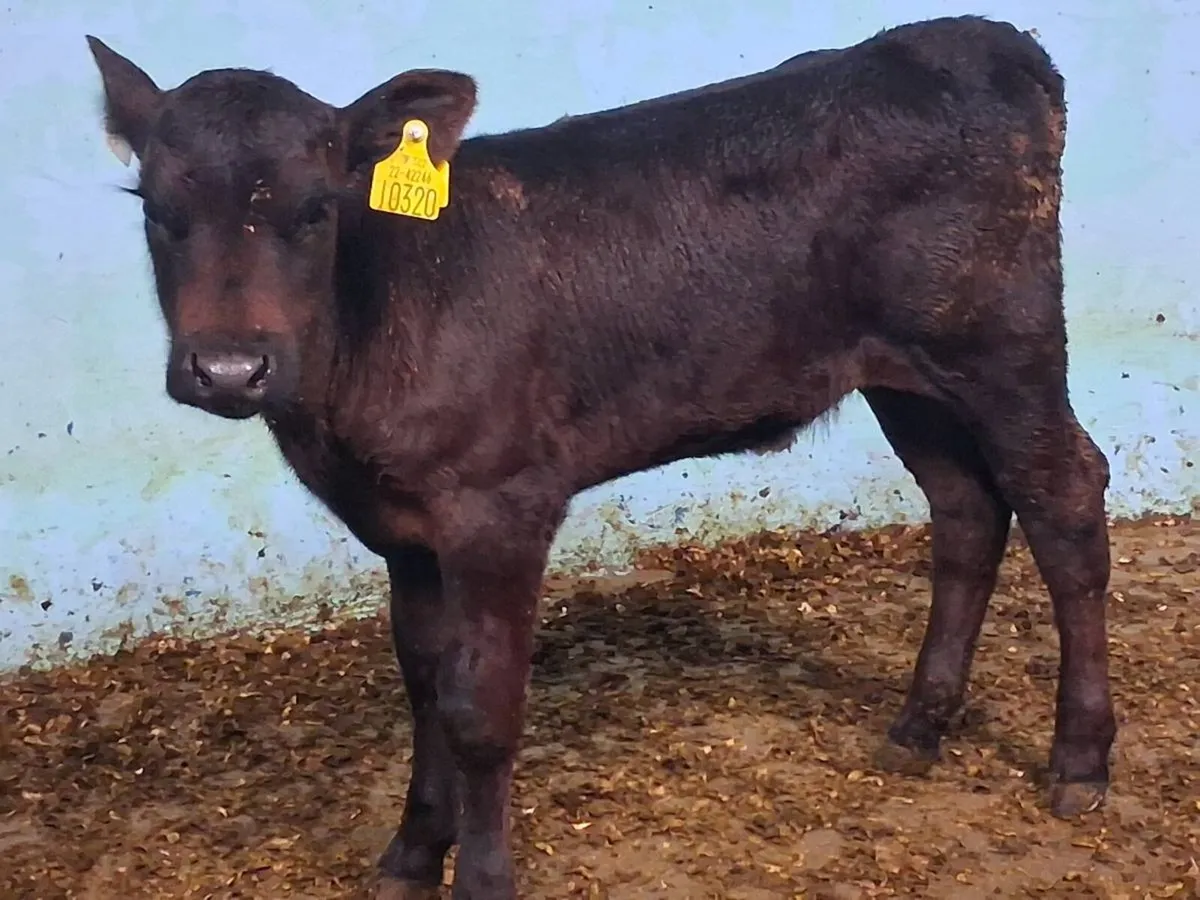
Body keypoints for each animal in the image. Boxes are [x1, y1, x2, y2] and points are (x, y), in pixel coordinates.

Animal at [86, 15, 1116, 899]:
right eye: (157, 209)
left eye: (315, 209)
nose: (229, 368)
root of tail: (975, 38)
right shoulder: (405, 529)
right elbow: (424, 685)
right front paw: (412, 854)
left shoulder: (502, 505)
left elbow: (480, 709)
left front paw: (482, 879)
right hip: (906, 374)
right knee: (968, 510)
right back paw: (918, 727)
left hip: (1003, 345)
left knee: (1065, 500)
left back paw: (1080, 759)